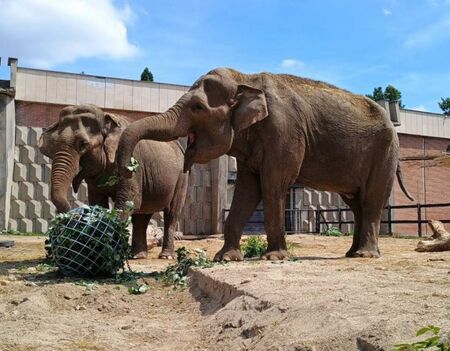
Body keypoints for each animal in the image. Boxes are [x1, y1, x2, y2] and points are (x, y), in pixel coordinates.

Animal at [37, 104, 188, 258]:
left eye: (83, 144)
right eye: (54, 145)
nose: (72, 216)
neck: (106, 117)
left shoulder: (132, 161)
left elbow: (126, 201)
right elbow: (98, 202)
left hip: (181, 177)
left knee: (171, 213)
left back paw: (166, 256)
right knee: (142, 215)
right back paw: (137, 256)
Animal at [115, 69, 412, 262]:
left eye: (198, 107)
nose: (129, 166)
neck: (246, 80)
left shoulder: (283, 132)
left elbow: (273, 185)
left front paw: (274, 257)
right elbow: (247, 190)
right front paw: (225, 258)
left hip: (385, 151)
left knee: (372, 198)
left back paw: (365, 254)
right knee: (356, 201)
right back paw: (351, 254)